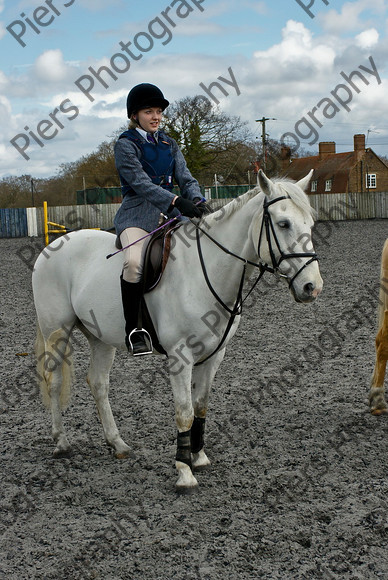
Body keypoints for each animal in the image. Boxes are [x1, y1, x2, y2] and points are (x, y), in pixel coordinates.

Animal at [32, 171, 324, 490]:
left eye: (310, 223)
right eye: (283, 224)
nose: (312, 287)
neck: (205, 270)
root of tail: (54, 246)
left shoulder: (214, 355)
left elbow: (201, 407)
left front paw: (199, 457)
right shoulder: (180, 356)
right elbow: (184, 412)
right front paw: (184, 473)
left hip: (100, 339)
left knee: (98, 383)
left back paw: (117, 443)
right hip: (57, 331)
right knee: (54, 381)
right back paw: (61, 443)